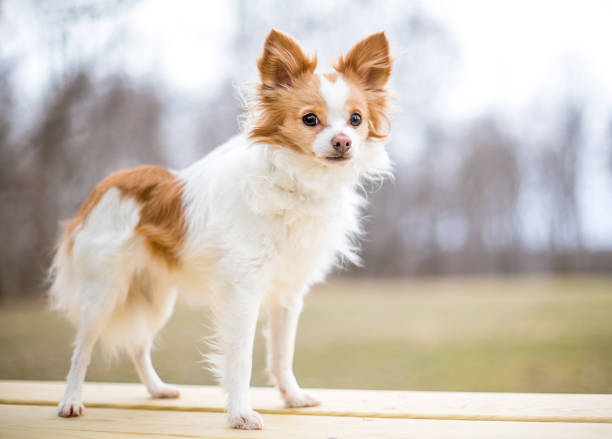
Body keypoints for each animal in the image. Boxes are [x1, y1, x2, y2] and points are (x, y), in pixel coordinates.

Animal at [47, 29, 392, 432]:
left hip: (156, 297)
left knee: (138, 344)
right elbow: (240, 358)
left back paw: (157, 390)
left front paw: (292, 398)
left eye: (356, 119)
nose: (343, 142)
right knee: (82, 350)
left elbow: (281, 353)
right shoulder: (243, 291)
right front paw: (240, 414)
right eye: (310, 119)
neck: (298, 181)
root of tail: (106, 186)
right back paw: (70, 401)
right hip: (104, 293)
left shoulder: (288, 294)